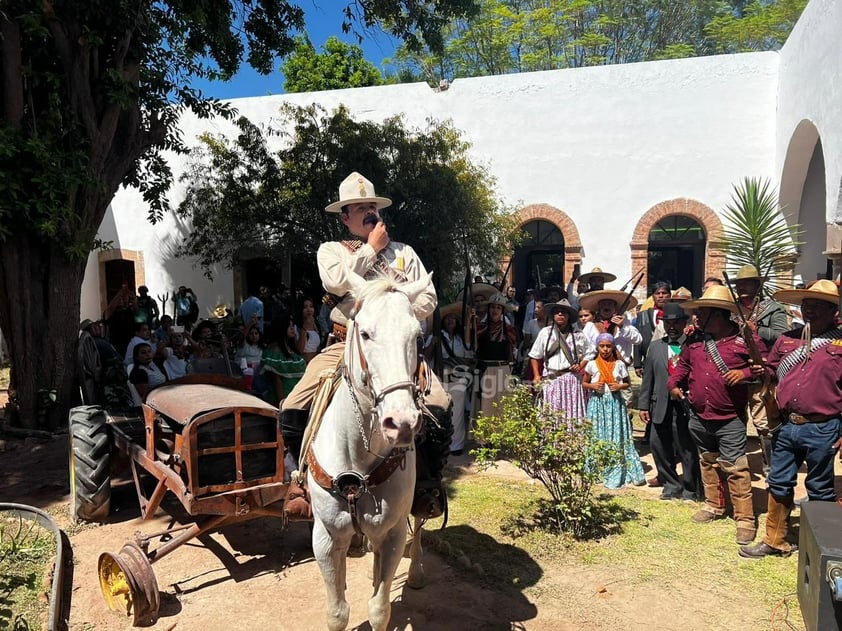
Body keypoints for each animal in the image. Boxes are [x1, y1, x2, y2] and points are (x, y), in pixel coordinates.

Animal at [306, 276, 426, 631]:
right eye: (365, 334)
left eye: (417, 336)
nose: (401, 423)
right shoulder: (326, 537)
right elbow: (337, 612)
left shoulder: (393, 534)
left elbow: (379, 608)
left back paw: (415, 572)